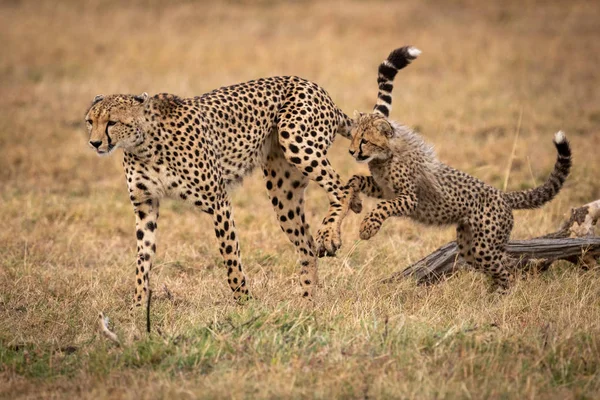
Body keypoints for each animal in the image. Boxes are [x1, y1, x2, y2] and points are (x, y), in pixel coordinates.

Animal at [84, 76, 356, 306]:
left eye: (112, 122)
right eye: (90, 121)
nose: (94, 143)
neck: (144, 145)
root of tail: (312, 84)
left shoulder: (218, 201)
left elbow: (230, 256)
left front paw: (245, 303)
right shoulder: (145, 206)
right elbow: (143, 259)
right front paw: (138, 306)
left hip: (297, 143)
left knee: (343, 187)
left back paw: (329, 236)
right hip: (283, 192)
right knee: (307, 246)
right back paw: (307, 303)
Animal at [346, 47, 572, 292]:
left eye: (364, 140)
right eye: (353, 136)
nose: (352, 152)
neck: (385, 156)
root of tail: (502, 195)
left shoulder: (409, 198)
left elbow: (383, 207)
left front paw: (367, 227)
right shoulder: (383, 188)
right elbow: (356, 179)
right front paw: (354, 202)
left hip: (484, 246)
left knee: (507, 268)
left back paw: (503, 295)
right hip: (469, 246)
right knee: (500, 265)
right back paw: (495, 293)